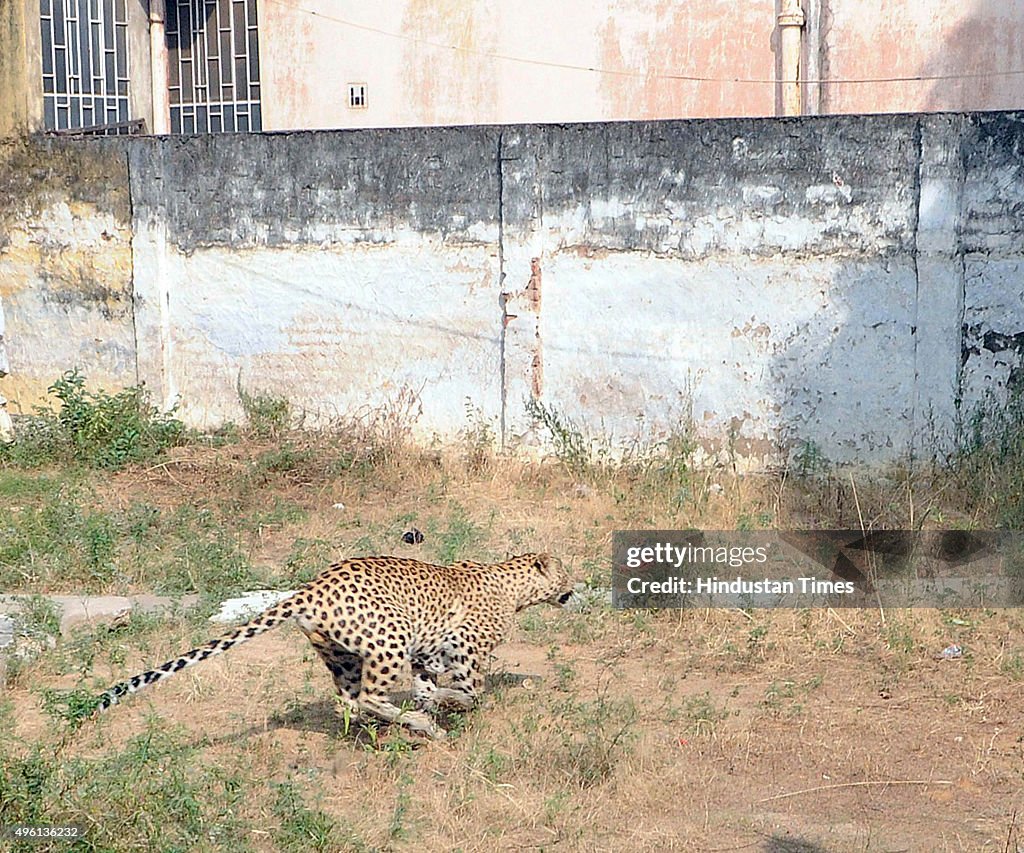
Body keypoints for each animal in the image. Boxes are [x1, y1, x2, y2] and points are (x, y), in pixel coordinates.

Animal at [95, 553, 572, 739]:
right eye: (565, 574)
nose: (576, 588)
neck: (514, 585)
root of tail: (310, 588)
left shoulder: (426, 654)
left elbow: (428, 685)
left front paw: (432, 706)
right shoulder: (467, 648)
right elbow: (471, 691)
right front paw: (446, 707)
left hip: (343, 656)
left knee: (351, 702)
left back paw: (381, 727)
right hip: (390, 637)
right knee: (371, 697)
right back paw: (414, 725)